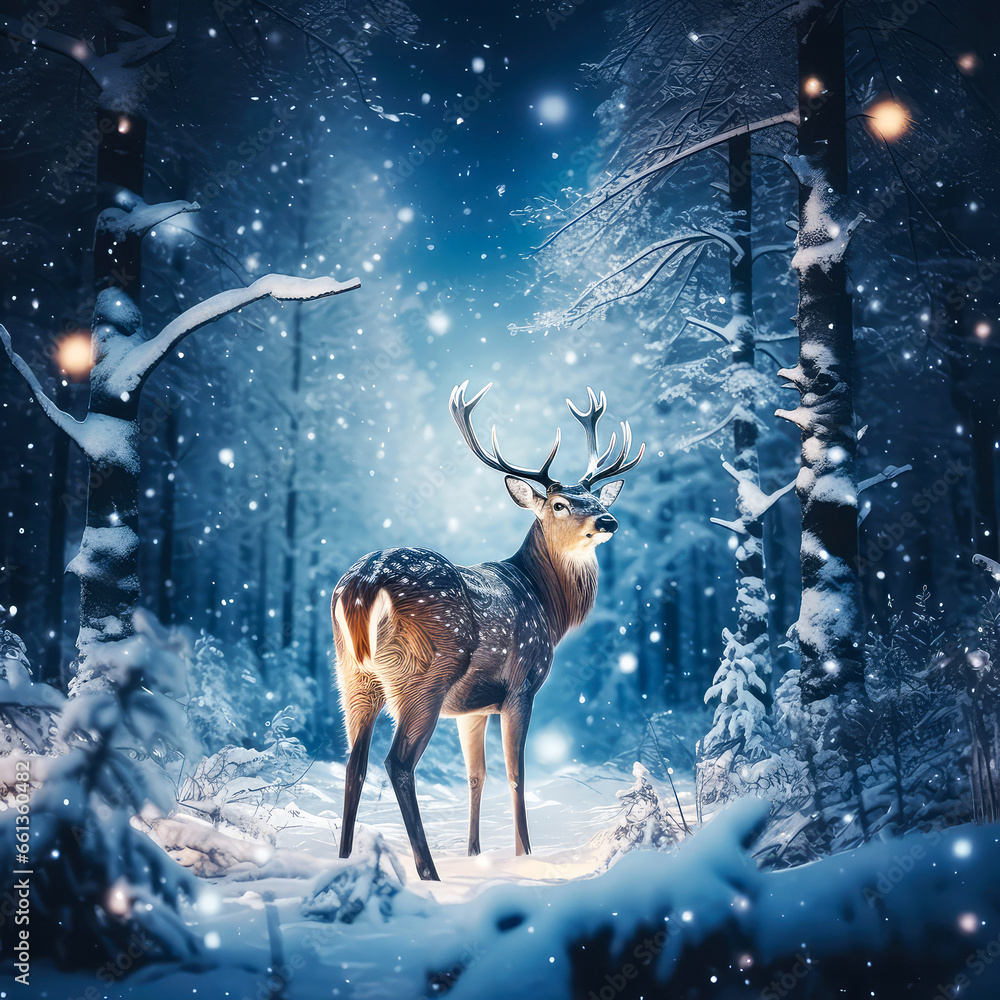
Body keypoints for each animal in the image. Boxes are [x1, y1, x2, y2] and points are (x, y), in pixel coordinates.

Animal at [331, 382, 643, 880]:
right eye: (560, 504)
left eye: (597, 500)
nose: (608, 521)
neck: (544, 602)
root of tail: (365, 583)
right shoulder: (521, 685)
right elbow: (516, 774)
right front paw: (525, 856)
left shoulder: (471, 708)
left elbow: (475, 776)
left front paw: (475, 853)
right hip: (425, 672)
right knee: (397, 763)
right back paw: (428, 872)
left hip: (353, 675)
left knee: (353, 764)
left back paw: (342, 861)